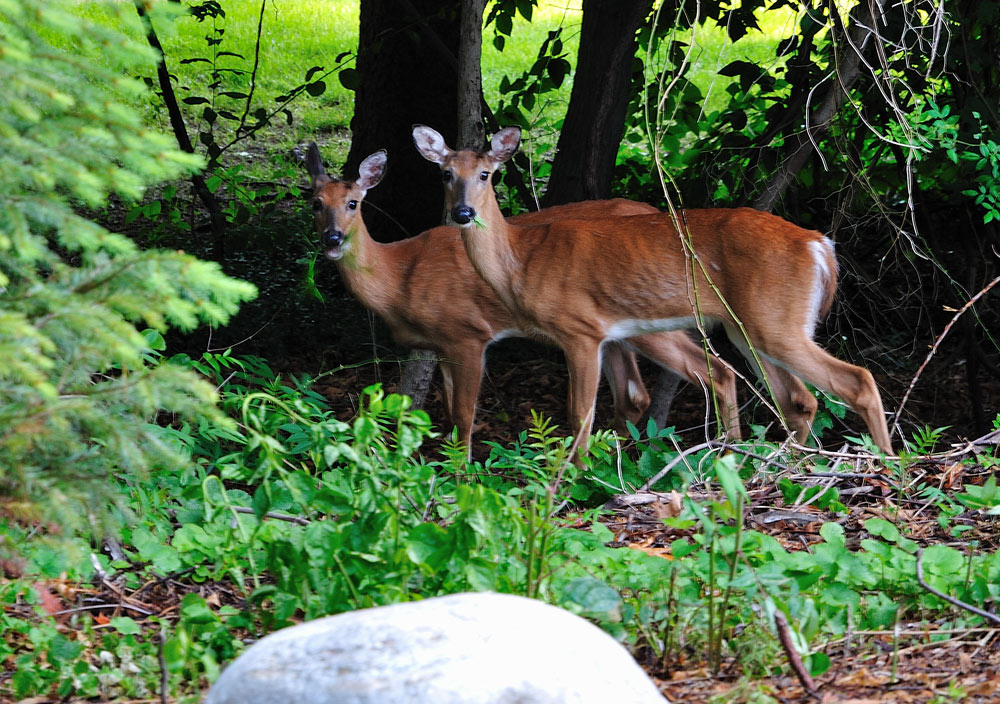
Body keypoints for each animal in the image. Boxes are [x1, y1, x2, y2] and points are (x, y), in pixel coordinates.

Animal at [304, 142, 744, 456]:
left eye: (353, 203)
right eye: (316, 203)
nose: (332, 239)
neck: (400, 278)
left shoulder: (467, 333)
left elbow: (464, 413)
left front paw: (461, 475)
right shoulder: (440, 344)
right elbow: (447, 410)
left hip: (646, 319)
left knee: (706, 372)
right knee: (636, 392)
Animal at [410, 124, 896, 460]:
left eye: (486, 174)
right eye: (445, 174)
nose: (463, 212)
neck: (521, 263)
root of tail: (819, 245)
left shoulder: (580, 329)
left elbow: (580, 414)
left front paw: (575, 481)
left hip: (775, 321)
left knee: (857, 380)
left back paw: (889, 466)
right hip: (749, 327)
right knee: (798, 398)